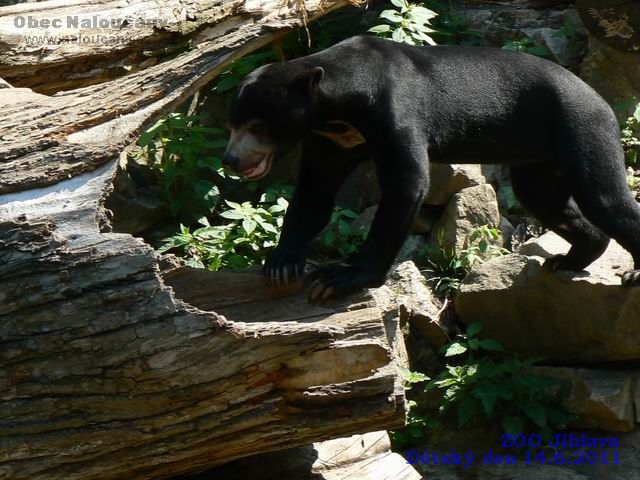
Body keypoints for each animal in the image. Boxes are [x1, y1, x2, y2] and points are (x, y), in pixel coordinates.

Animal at [224, 36, 640, 300]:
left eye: (257, 126)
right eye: (233, 125)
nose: (231, 160)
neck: (339, 108)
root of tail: (601, 98)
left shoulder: (393, 112)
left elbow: (406, 185)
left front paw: (339, 277)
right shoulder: (332, 138)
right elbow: (315, 188)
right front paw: (281, 264)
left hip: (580, 127)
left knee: (606, 200)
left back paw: (631, 272)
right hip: (537, 157)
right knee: (546, 200)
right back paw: (569, 258)